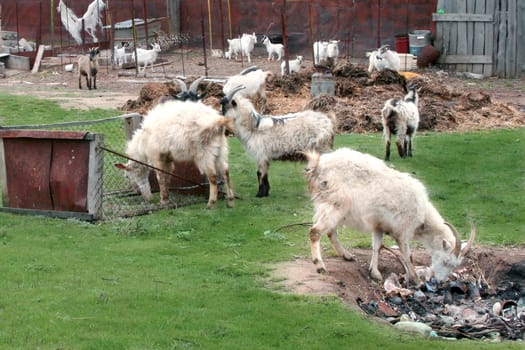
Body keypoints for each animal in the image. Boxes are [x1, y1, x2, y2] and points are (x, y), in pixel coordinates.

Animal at [302, 148, 474, 284]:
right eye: (445, 260)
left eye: (454, 265)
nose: (440, 281)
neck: (422, 214)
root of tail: (317, 165)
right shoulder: (402, 230)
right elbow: (407, 255)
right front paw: (415, 279)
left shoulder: (379, 225)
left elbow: (377, 246)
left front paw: (375, 273)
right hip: (336, 203)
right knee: (315, 231)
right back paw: (320, 266)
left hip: (335, 208)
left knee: (331, 231)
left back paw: (347, 255)